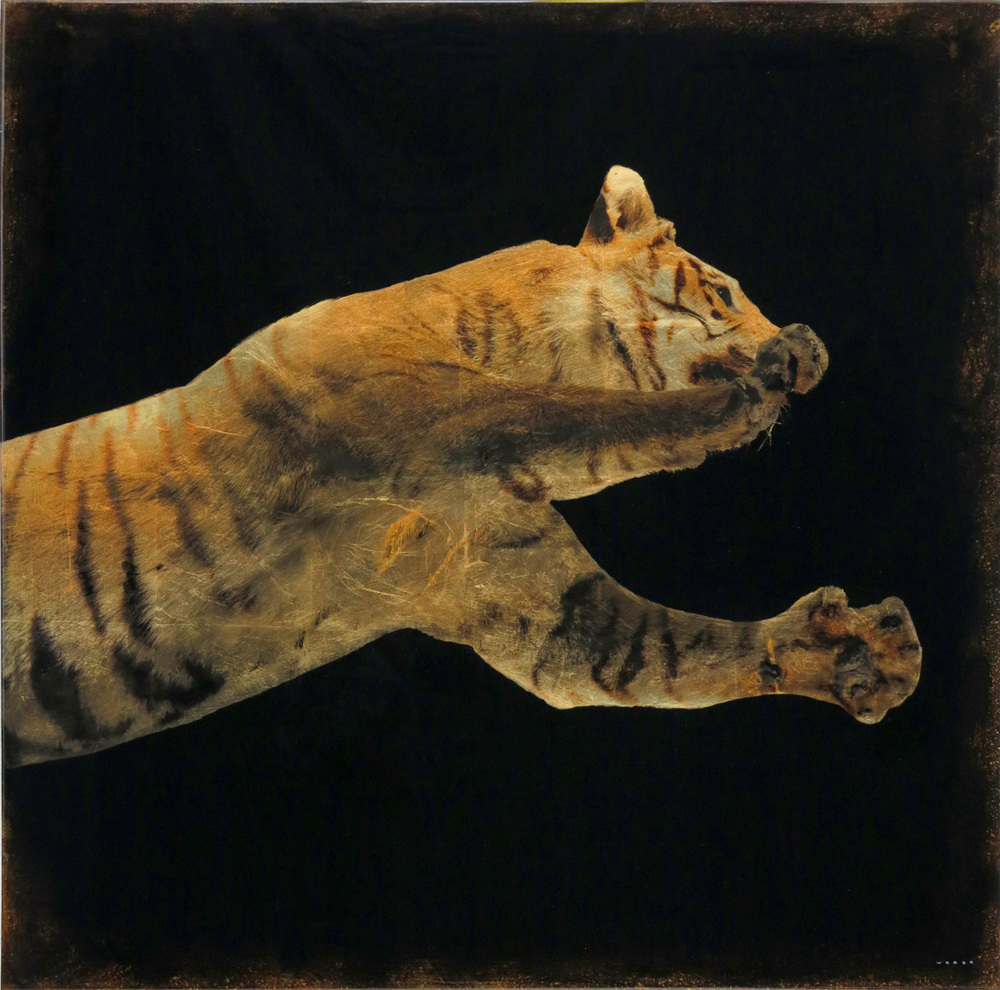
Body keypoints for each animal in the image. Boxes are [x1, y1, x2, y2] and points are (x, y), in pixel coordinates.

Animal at [1, 166, 922, 767]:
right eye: (727, 293)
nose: (817, 363)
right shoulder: (431, 415)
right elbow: (584, 413)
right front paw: (753, 389)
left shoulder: (540, 607)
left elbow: (669, 651)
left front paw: (861, 653)